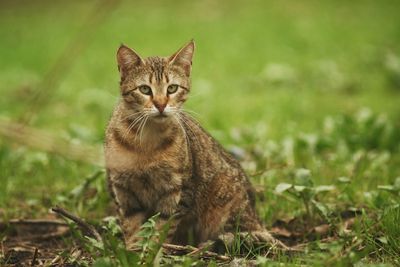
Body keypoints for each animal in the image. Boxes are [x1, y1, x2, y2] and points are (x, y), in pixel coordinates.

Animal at [103, 40, 284, 251]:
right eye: (145, 89)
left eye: (172, 88)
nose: (161, 105)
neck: (146, 142)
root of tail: (257, 219)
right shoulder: (123, 192)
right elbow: (132, 230)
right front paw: (133, 251)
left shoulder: (177, 193)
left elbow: (161, 230)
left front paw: (153, 251)